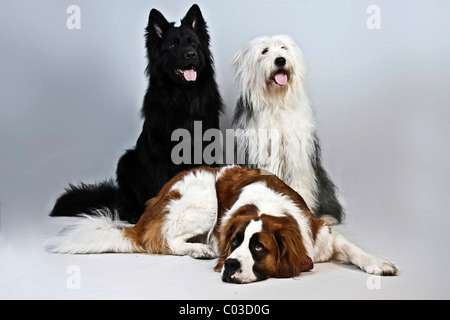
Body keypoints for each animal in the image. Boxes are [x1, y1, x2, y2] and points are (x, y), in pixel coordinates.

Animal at [50, 4, 223, 222]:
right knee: (123, 204)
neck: (183, 97)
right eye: (172, 46)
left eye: (193, 43)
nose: (191, 54)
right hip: (127, 160)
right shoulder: (161, 157)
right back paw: (132, 213)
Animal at [234, 35, 342, 225]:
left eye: (284, 48)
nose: (280, 60)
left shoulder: (298, 157)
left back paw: (328, 216)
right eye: (265, 51)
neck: (276, 101)